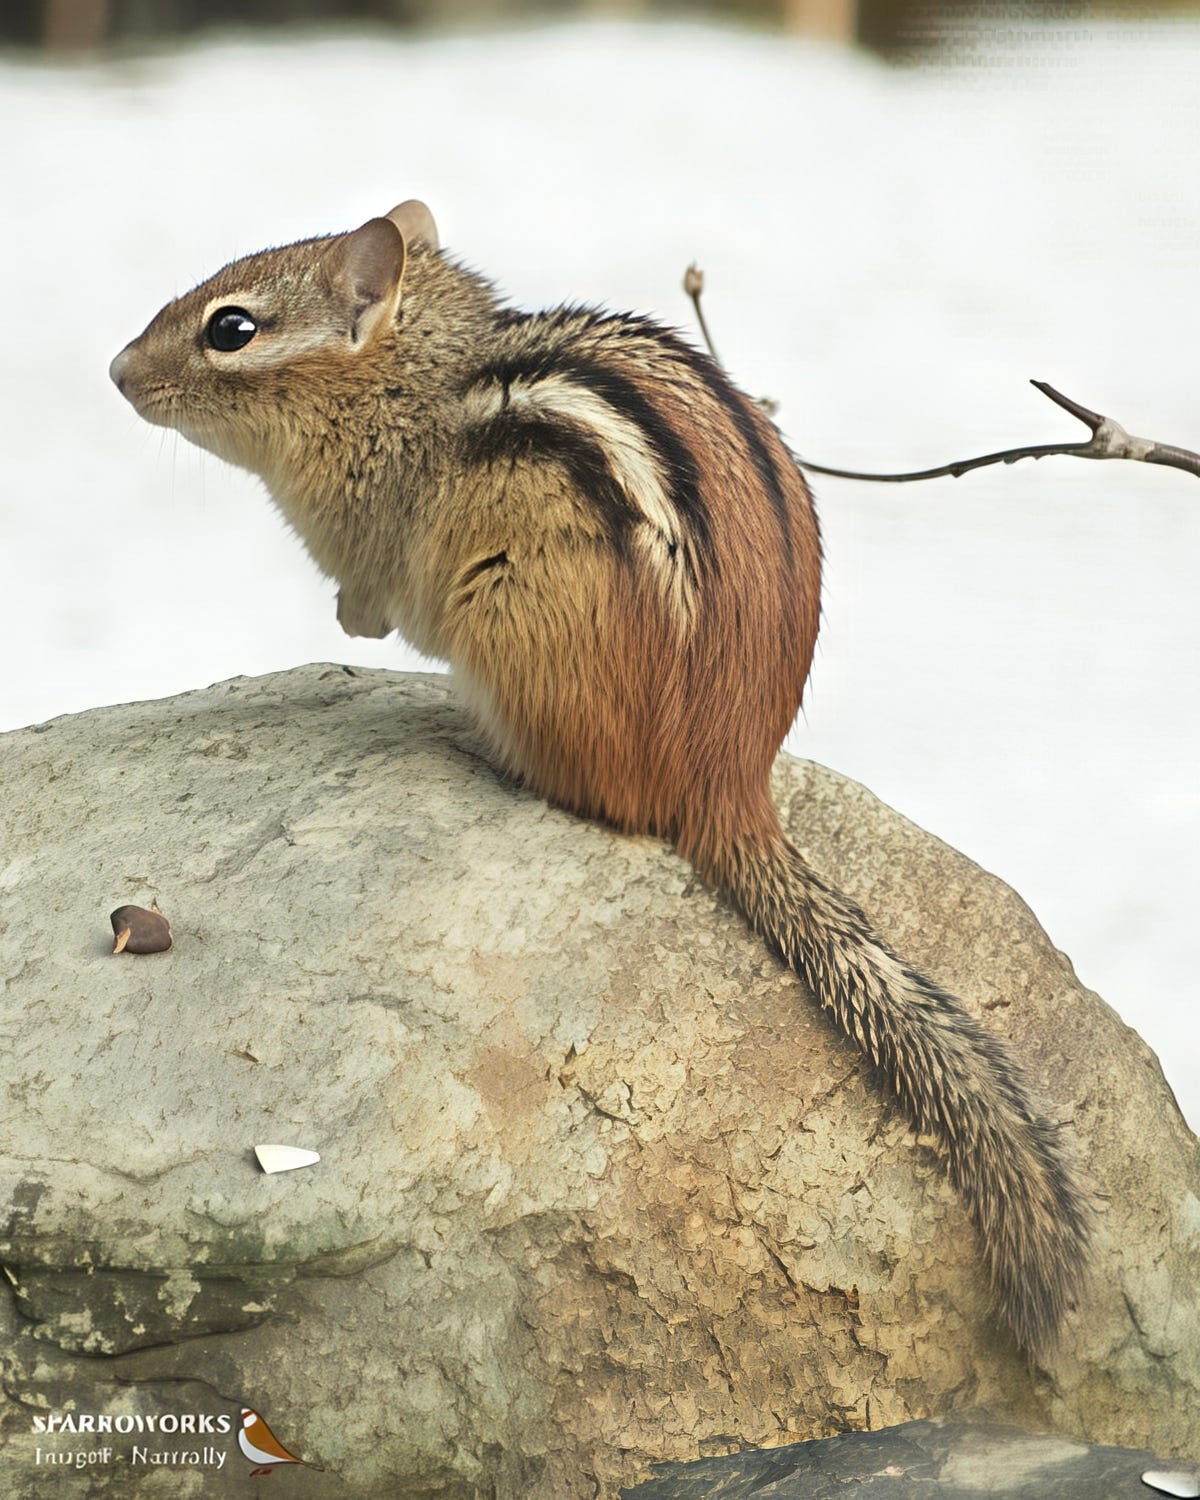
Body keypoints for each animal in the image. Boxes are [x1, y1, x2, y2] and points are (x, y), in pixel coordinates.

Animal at [110, 199, 1090, 1358]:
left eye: (231, 329)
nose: (117, 371)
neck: (412, 386)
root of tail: (729, 780)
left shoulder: (379, 537)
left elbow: (373, 594)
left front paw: (354, 622)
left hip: (512, 624)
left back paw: (469, 740)